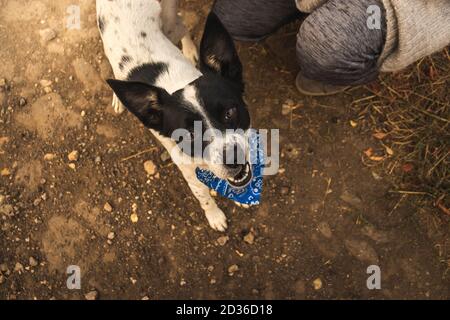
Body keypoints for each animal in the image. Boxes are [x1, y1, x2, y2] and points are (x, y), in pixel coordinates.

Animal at [96, 0, 251, 230]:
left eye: (230, 112)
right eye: (189, 135)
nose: (233, 158)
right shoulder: (189, 173)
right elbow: (204, 197)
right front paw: (214, 216)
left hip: (169, 22)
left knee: (182, 26)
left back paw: (189, 49)